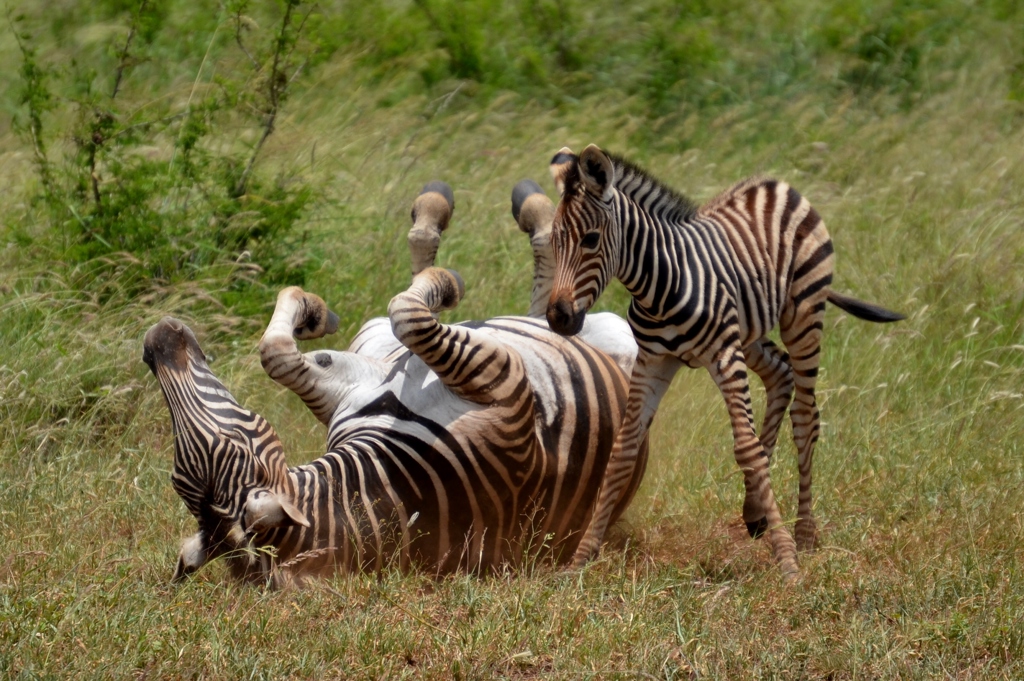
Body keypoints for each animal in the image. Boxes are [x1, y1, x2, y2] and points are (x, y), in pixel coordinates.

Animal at [144, 180, 644, 587]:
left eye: (231, 438)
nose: (155, 343)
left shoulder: (350, 390)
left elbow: (277, 351)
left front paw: (313, 312)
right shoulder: (502, 385)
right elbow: (407, 312)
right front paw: (447, 281)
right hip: (611, 337)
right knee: (538, 283)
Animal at [545, 145, 904, 577]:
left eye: (591, 240)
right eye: (553, 241)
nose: (558, 318)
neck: (659, 283)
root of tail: (776, 184)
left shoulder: (724, 354)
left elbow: (747, 450)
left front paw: (788, 561)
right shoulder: (654, 361)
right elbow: (623, 449)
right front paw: (582, 557)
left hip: (803, 313)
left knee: (805, 418)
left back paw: (804, 533)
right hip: (749, 331)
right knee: (780, 375)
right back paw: (755, 511)